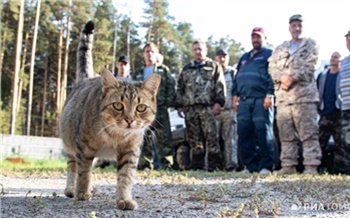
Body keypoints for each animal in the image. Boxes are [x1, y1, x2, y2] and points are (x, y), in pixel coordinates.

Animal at [58, 21, 160, 210]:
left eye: (141, 107)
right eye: (118, 105)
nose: (129, 119)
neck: (116, 135)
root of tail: (86, 78)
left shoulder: (130, 151)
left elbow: (125, 177)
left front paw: (124, 199)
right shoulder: (84, 147)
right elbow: (83, 172)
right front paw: (82, 193)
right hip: (70, 144)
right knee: (72, 166)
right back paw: (71, 189)